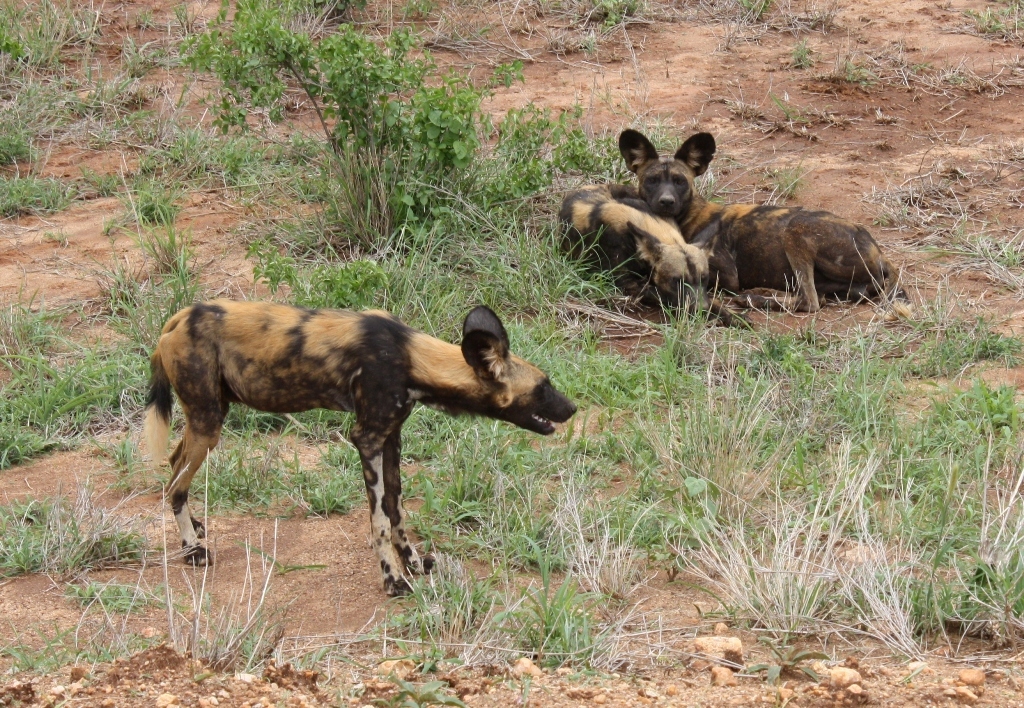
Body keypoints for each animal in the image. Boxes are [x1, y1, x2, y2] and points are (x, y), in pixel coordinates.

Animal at [143, 301, 577, 598]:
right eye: (543, 387)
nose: (573, 407)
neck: (411, 358)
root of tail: (177, 318)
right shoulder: (367, 438)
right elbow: (380, 521)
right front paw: (393, 579)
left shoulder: (391, 437)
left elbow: (397, 510)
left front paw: (413, 563)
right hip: (209, 423)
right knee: (175, 485)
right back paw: (193, 550)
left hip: (207, 419)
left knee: (174, 464)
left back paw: (195, 528)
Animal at [561, 182, 745, 325]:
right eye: (676, 281)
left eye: (704, 278)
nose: (701, 309)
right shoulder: (629, 284)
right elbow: (663, 295)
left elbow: (710, 298)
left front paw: (730, 314)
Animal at [614, 130, 905, 313]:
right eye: (652, 180)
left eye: (679, 181)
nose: (666, 202)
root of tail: (879, 252)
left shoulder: (727, 275)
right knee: (817, 296)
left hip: (796, 230)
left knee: (810, 302)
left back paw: (754, 299)